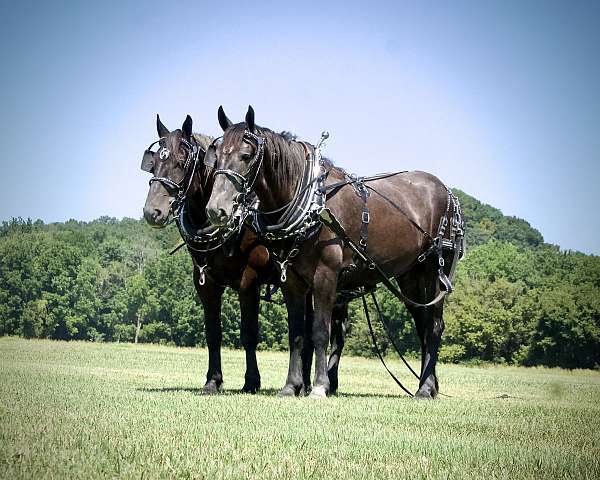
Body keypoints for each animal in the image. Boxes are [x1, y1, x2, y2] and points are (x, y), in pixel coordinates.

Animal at [204, 107, 462, 400]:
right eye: (217, 155)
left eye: (246, 156)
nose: (216, 210)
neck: (312, 203)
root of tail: (448, 194)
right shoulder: (292, 281)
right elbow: (297, 334)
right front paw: (291, 386)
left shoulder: (326, 276)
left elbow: (319, 331)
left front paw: (319, 386)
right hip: (410, 277)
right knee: (422, 325)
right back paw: (428, 385)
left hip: (434, 271)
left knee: (434, 326)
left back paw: (425, 388)